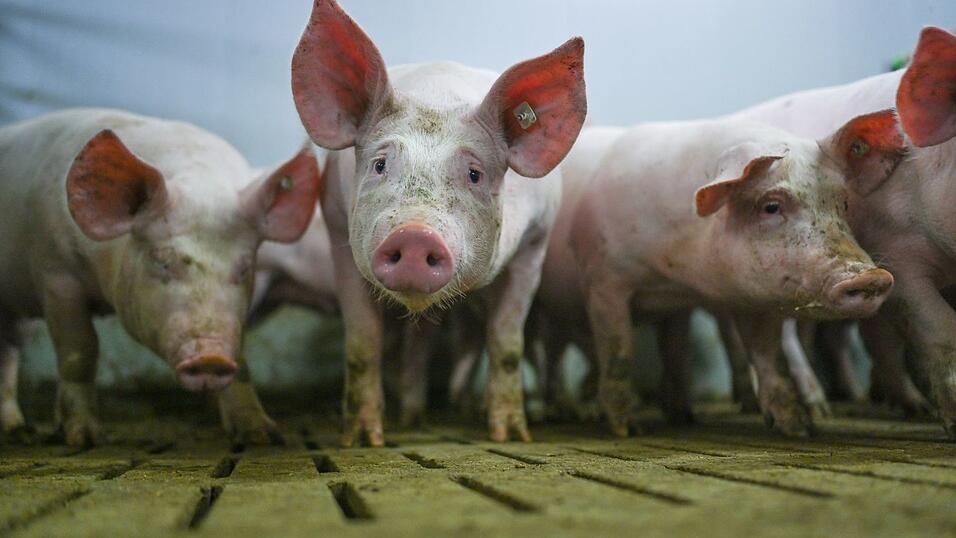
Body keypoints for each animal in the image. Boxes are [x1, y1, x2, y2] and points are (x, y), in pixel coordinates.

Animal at [0, 108, 320, 446]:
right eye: (161, 260)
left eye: (245, 267)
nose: (212, 358)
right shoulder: (55, 271)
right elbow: (79, 351)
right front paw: (85, 438)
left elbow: (242, 359)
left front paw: (261, 435)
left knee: (8, 350)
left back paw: (17, 429)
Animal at [290, 0, 587, 445]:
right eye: (380, 164)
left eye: (474, 174)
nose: (415, 234)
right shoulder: (337, 227)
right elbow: (363, 342)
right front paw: (363, 440)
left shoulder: (535, 243)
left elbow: (506, 343)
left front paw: (510, 435)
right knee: (420, 341)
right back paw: (411, 419)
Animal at [549, 112, 901, 437]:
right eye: (771, 206)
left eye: (844, 204)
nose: (870, 277)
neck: (678, 272)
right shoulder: (604, 281)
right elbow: (618, 350)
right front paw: (629, 430)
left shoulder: (720, 299)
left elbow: (763, 356)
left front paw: (797, 428)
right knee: (555, 354)